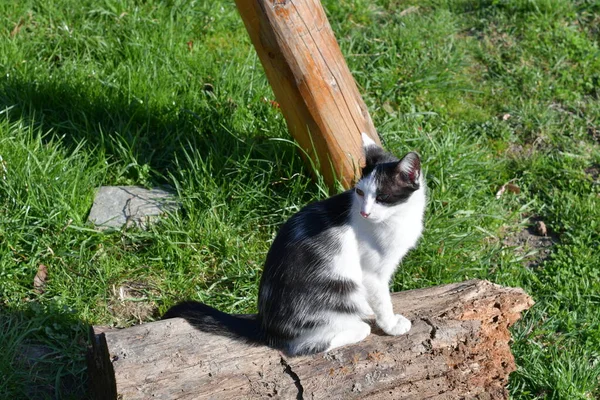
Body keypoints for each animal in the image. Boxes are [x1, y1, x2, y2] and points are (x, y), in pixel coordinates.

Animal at [163, 134, 426, 356]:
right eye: (360, 192)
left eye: (381, 197)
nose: (364, 212)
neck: (398, 218)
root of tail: (265, 325)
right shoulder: (371, 273)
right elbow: (381, 299)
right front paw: (391, 324)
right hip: (336, 293)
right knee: (304, 347)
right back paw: (355, 328)